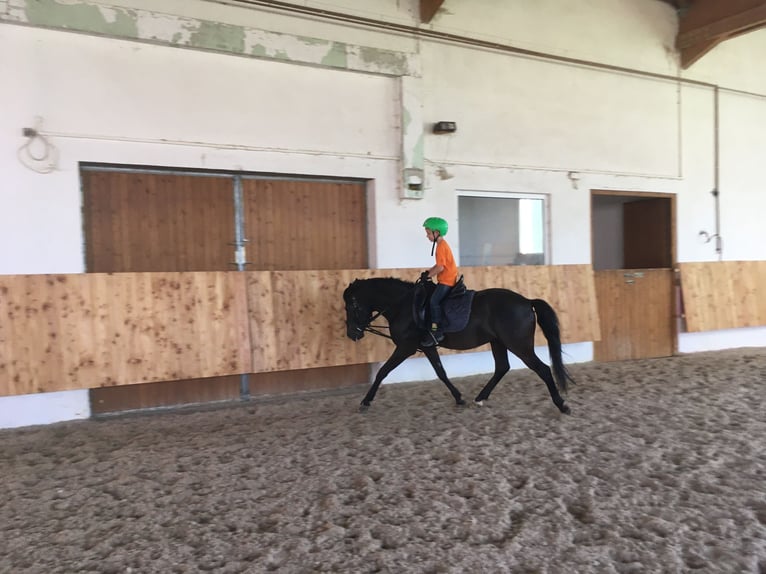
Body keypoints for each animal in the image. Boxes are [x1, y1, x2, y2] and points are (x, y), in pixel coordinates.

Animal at [344, 278, 576, 414]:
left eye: (352, 306)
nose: (352, 334)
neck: (404, 305)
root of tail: (527, 302)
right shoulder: (428, 346)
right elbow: (441, 372)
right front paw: (459, 398)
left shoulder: (405, 347)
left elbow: (383, 371)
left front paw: (365, 401)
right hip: (498, 342)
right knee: (502, 367)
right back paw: (480, 398)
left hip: (519, 345)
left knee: (542, 369)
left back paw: (561, 404)